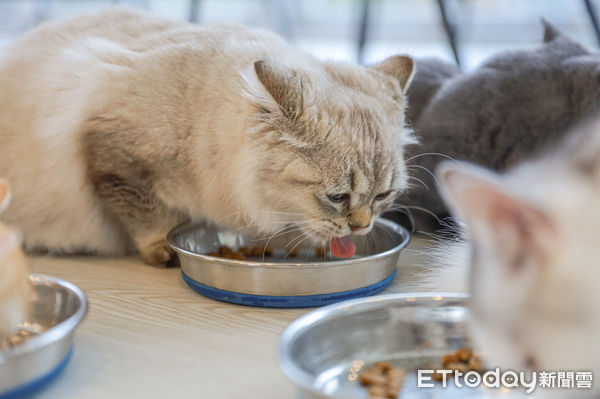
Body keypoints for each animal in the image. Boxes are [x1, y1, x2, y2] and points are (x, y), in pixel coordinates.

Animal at [0, 8, 414, 266]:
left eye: (382, 196)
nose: (362, 226)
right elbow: (148, 217)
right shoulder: (114, 155)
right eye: (337, 197)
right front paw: (161, 250)